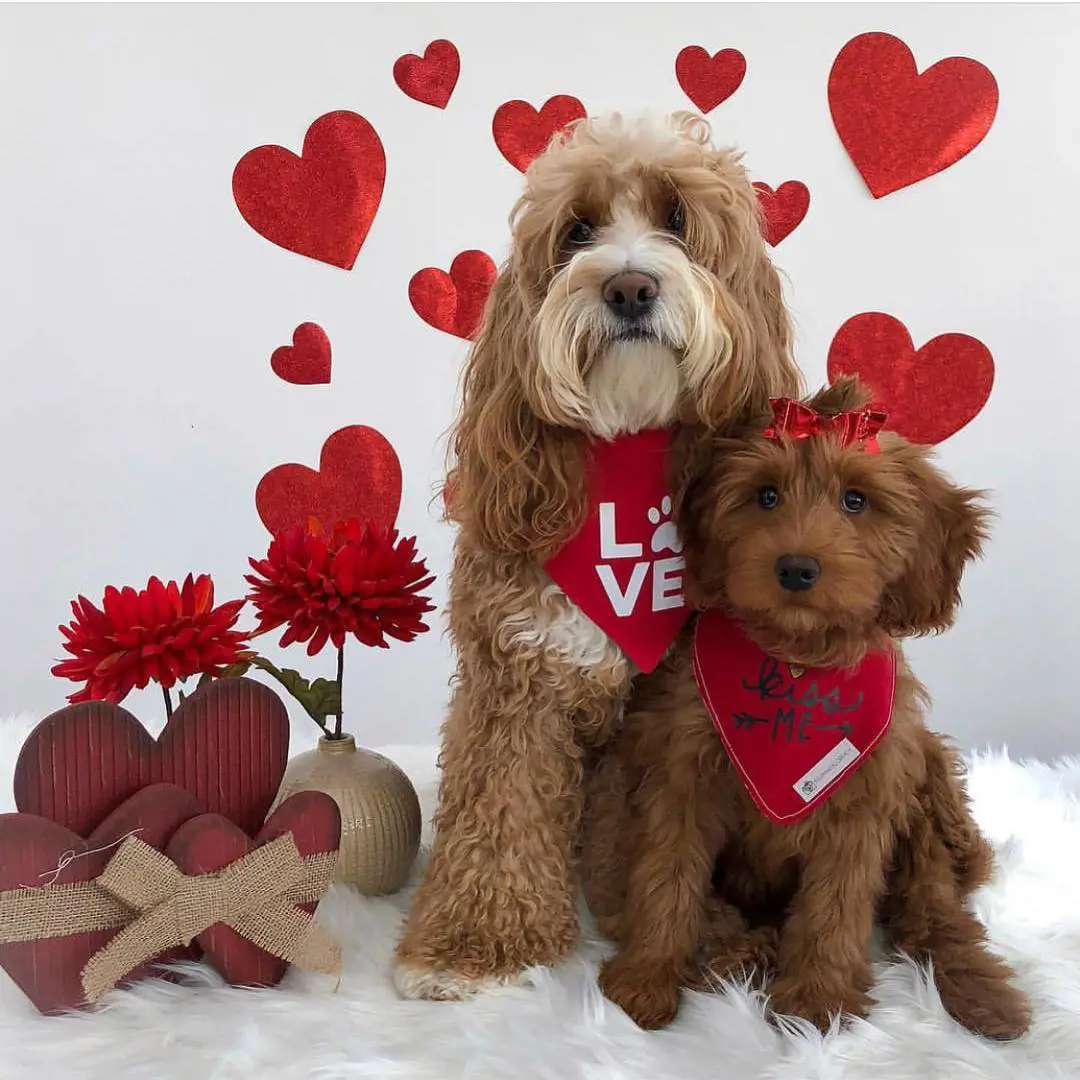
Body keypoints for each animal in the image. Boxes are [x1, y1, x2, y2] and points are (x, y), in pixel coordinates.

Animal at [583, 378, 1028, 1036]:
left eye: (855, 501)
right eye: (765, 495)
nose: (796, 568)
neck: (794, 663)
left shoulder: (863, 795)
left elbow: (834, 908)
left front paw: (816, 1002)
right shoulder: (683, 777)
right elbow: (667, 879)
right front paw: (647, 976)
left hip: (926, 776)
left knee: (932, 907)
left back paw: (983, 994)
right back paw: (742, 951)